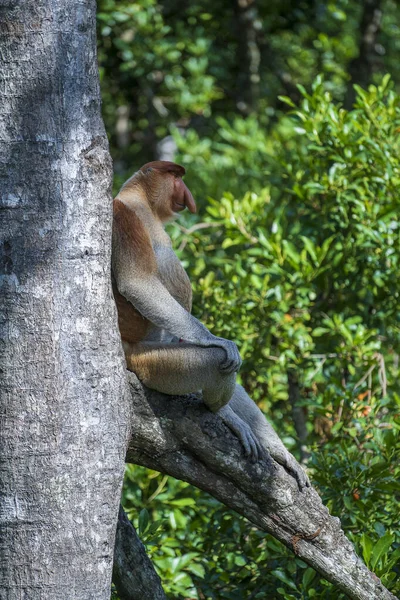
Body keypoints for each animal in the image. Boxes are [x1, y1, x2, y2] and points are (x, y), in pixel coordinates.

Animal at [111, 162, 310, 490]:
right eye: (176, 176)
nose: (188, 196)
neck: (143, 204)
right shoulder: (122, 215)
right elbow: (137, 282)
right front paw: (217, 340)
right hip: (147, 359)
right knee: (218, 363)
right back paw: (224, 414)